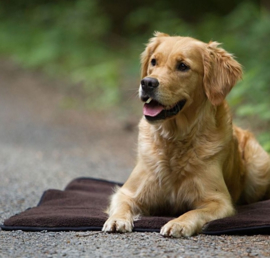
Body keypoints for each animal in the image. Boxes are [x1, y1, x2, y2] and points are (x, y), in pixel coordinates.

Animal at [102, 31, 270, 237]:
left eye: (183, 66)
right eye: (154, 61)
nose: (147, 83)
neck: (175, 139)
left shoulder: (219, 201)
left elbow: (194, 212)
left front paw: (179, 223)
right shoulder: (127, 192)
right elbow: (122, 205)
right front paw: (117, 220)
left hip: (258, 168)